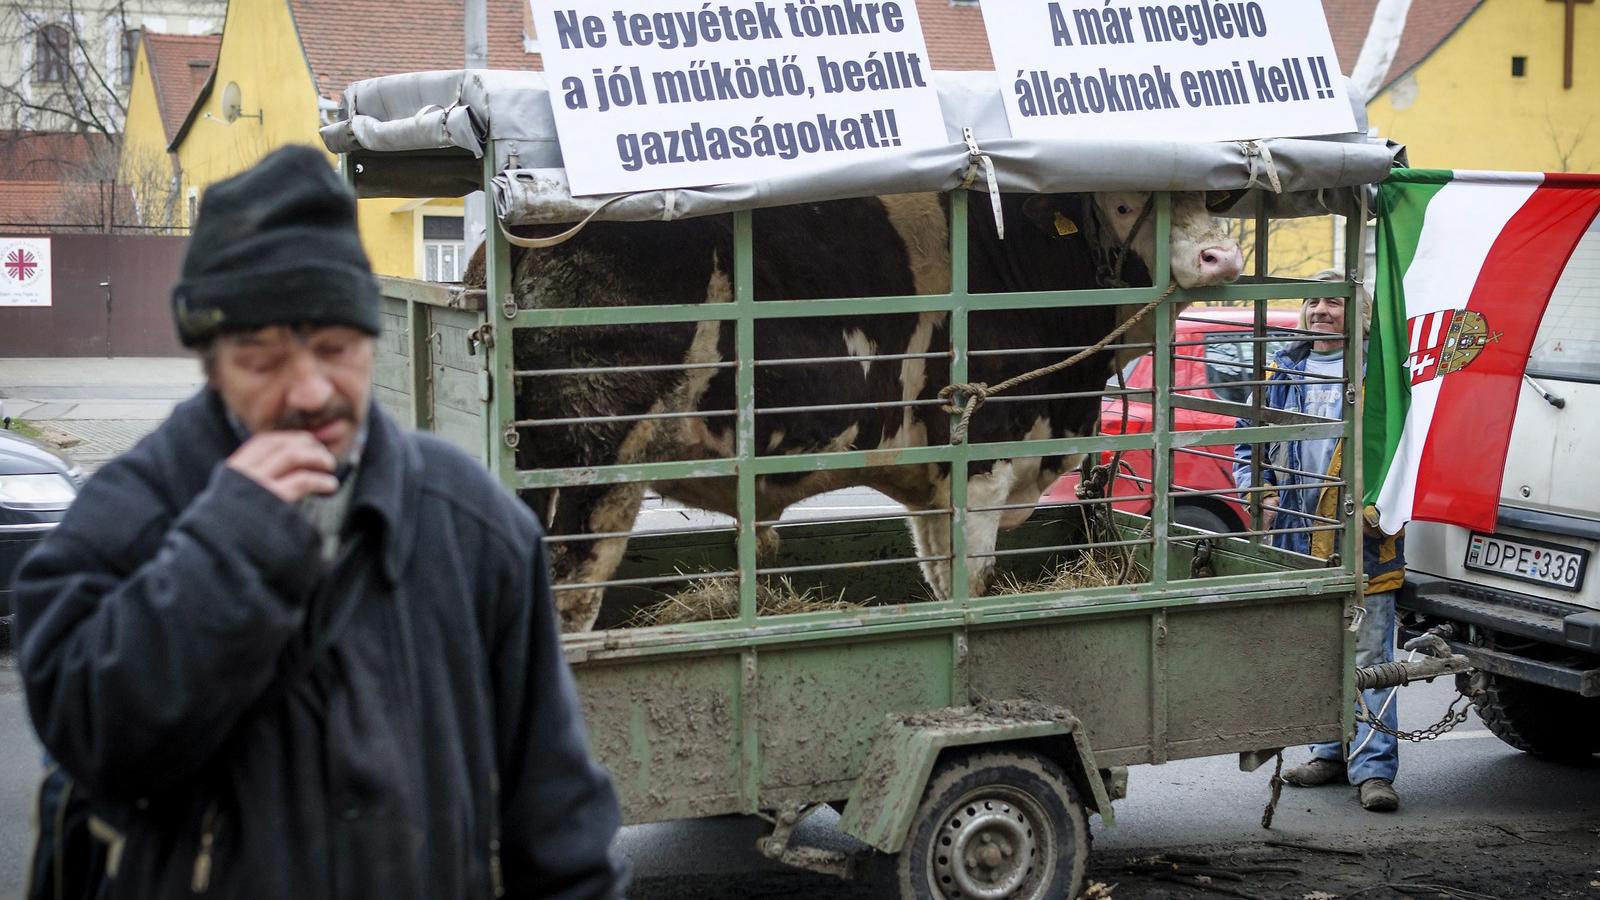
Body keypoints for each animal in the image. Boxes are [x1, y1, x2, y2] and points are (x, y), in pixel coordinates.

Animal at [467, 187, 1241, 630]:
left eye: (1213, 202)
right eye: (1124, 204)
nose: (1221, 259)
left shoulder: (932, 485)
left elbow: (940, 580)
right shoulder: (983, 459)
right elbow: (973, 582)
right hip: (584, 470)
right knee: (570, 600)